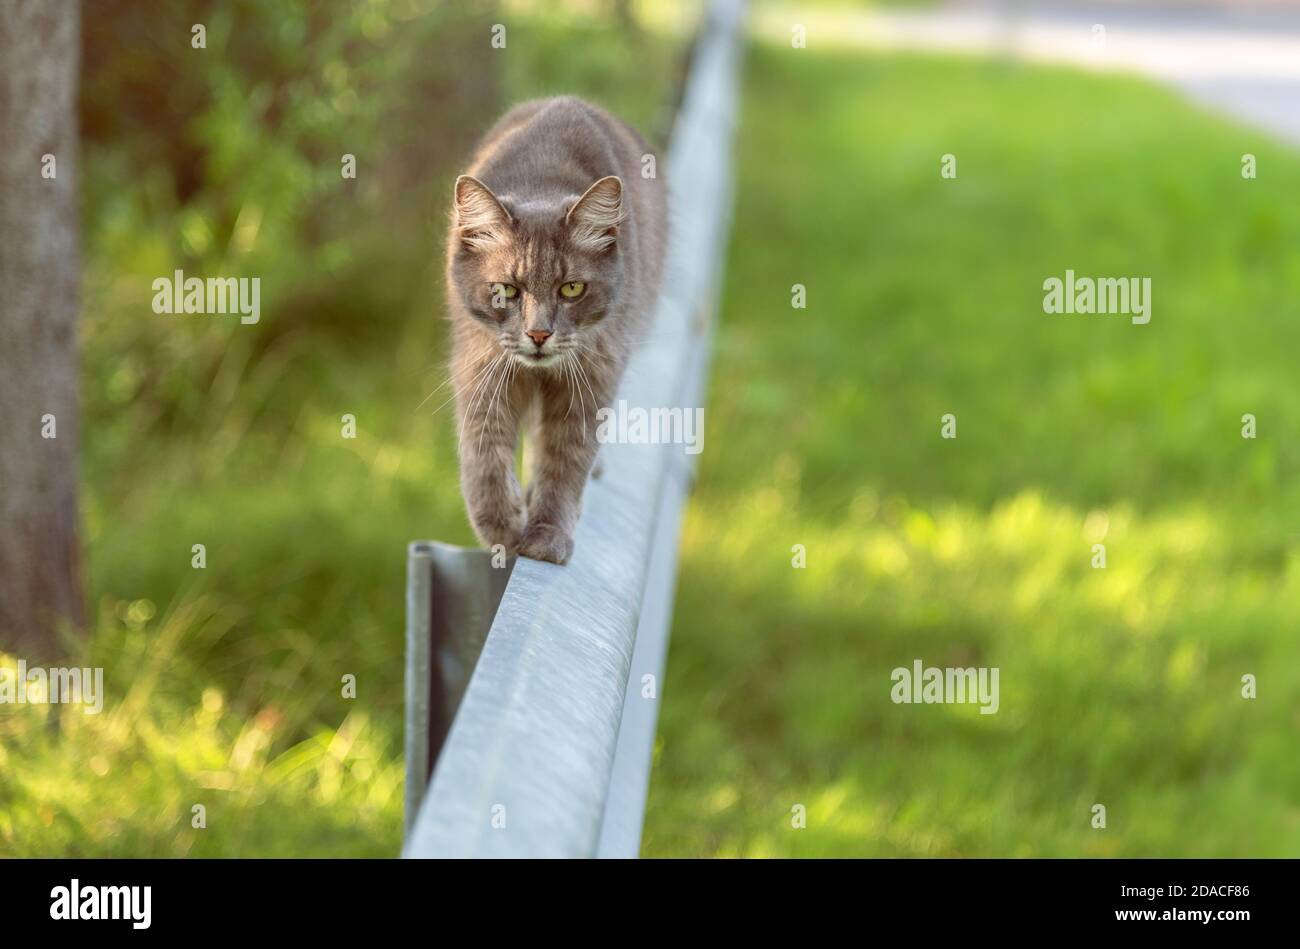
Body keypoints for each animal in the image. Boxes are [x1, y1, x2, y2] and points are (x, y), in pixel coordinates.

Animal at [447, 96, 670, 561]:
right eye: (505, 290)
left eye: (571, 288)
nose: (538, 335)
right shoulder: (480, 364)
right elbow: (482, 453)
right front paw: (503, 529)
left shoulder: (592, 375)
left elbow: (565, 460)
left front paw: (546, 536)